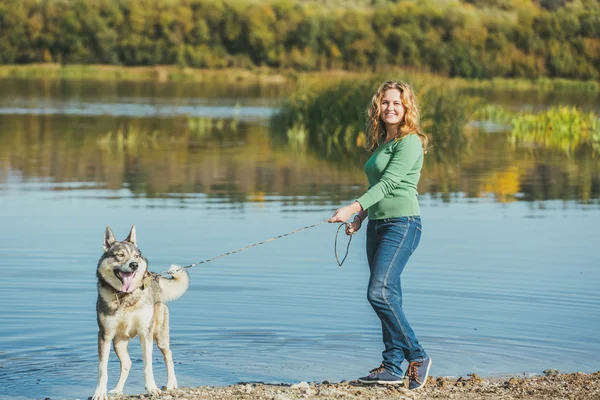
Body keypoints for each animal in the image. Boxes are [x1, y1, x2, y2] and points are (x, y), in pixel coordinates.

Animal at [91, 225, 189, 400]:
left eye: (136, 256)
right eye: (120, 255)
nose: (134, 264)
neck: (125, 296)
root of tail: (154, 275)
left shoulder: (146, 333)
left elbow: (148, 364)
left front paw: (151, 388)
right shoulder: (105, 335)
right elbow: (103, 369)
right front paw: (99, 392)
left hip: (160, 335)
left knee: (168, 354)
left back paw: (171, 383)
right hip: (118, 343)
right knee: (127, 363)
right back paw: (117, 390)